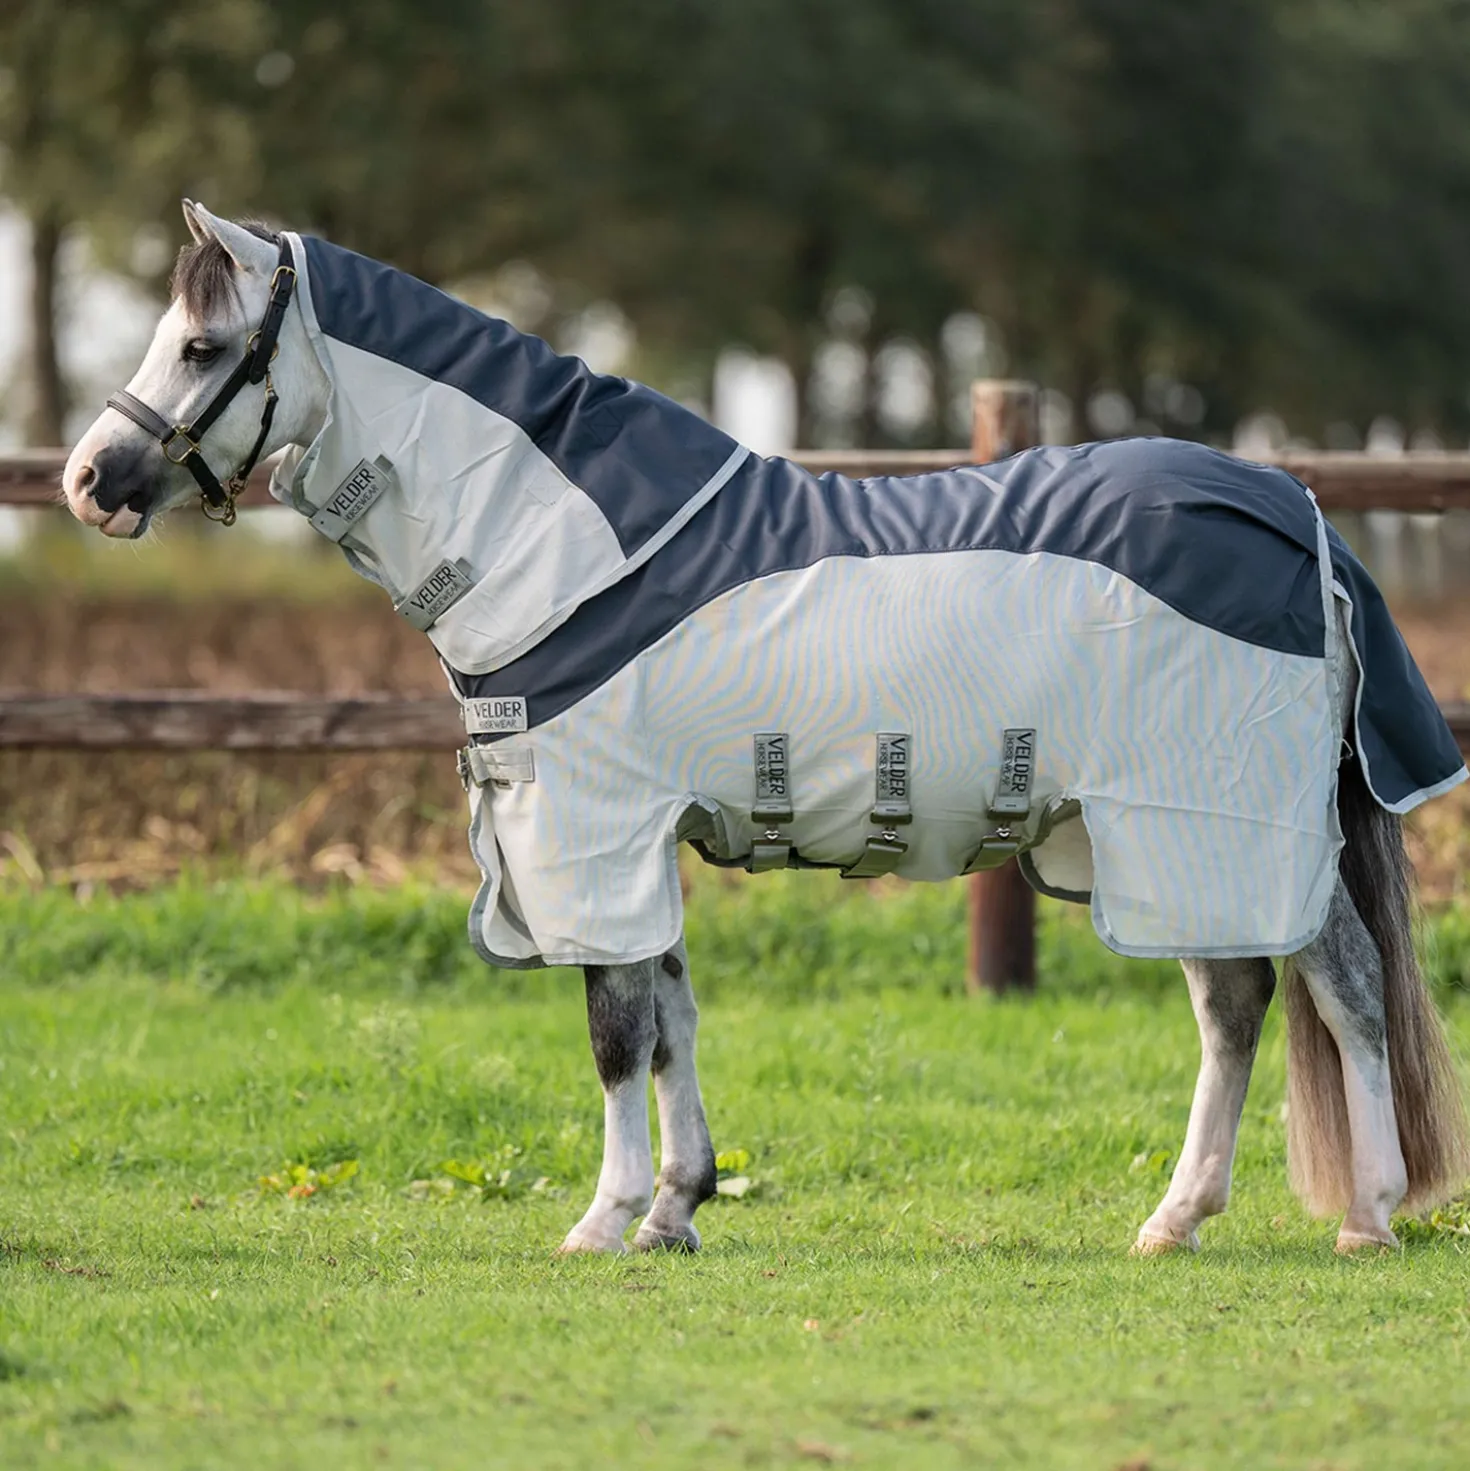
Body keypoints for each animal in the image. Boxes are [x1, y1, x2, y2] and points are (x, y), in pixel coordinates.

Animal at [63, 202, 1469, 1256]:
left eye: (203, 346)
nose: (86, 482)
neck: (574, 546)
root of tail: (1293, 508)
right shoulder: (638, 836)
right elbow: (670, 1019)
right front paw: (677, 1209)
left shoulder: (594, 833)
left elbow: (615, 1033)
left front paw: (605, 1219)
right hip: (1161, 840)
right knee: (1236, 1002)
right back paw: (1175, 1220)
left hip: (1220, 821)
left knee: (1340, 987)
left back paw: (1369, 1215)